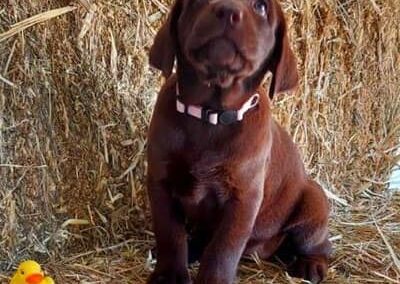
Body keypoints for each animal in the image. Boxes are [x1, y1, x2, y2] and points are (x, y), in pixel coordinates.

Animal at [147, 0, 332, 284]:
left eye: (261, 7)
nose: (227, 10)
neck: (210, 115)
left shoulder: (244, 198)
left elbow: (223, 248)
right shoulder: (160, 182)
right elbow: (169, 233)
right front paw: (169, 276)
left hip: (313, 202)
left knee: (321, 245)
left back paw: (310, 265)